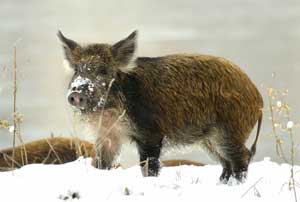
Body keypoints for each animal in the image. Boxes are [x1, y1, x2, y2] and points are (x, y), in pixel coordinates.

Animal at [58, 30, 262, 183]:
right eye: (77, 70)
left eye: (103, 70)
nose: (76, 93)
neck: (111, 110)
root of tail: (257, 95)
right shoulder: (108, 136)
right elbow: (101, 163)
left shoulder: (151, 134)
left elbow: (148, 167)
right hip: (210, 139)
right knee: (227, 163)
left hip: (229, 130)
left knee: (241, 158)